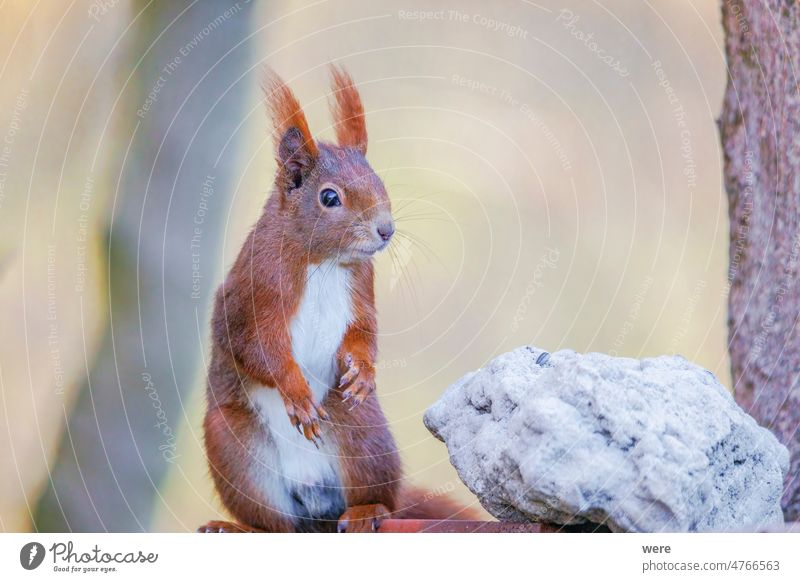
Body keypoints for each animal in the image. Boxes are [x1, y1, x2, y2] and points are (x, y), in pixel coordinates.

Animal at [200, 68, 476, 532]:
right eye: (330, 197)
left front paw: (362, 370)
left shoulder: (361, 286)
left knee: (379, 496)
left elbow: (364, 331)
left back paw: (368, 511)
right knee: (276, 526)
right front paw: (295, 391)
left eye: (380, 183)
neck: (322, 261)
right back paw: (236, 526)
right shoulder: (254, 292)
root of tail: (317, 505)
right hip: (233, 448)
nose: (386, 230)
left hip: (362, 432)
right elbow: (256, 347)